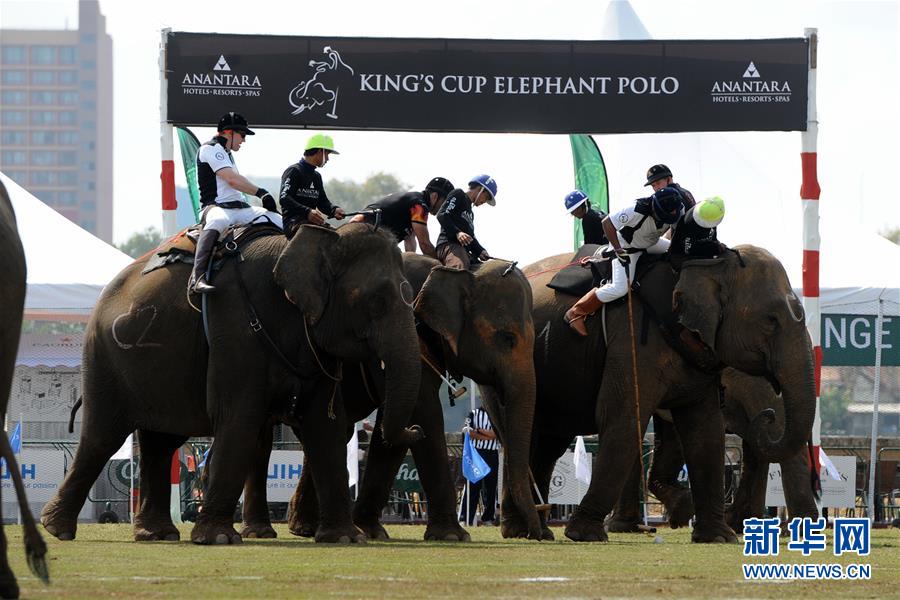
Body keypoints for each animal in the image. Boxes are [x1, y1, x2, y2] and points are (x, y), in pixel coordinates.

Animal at [38, 224, 426, 544]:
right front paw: (219, 539)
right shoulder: (235, 330)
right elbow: (239, 419)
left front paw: (345, 538)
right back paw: (57, 529)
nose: (417, 429)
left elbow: (326, 427)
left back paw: (156, 534)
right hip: (104, 357)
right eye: (375, 301)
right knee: (104, 437)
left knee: (161, 443)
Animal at [506, 246, 816, 540]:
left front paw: (714, 534)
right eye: (771, 320)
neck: (704, 264)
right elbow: (625, 419)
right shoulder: (633, 341)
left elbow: (702, 428)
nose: (768, 415)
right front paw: (592, 533)